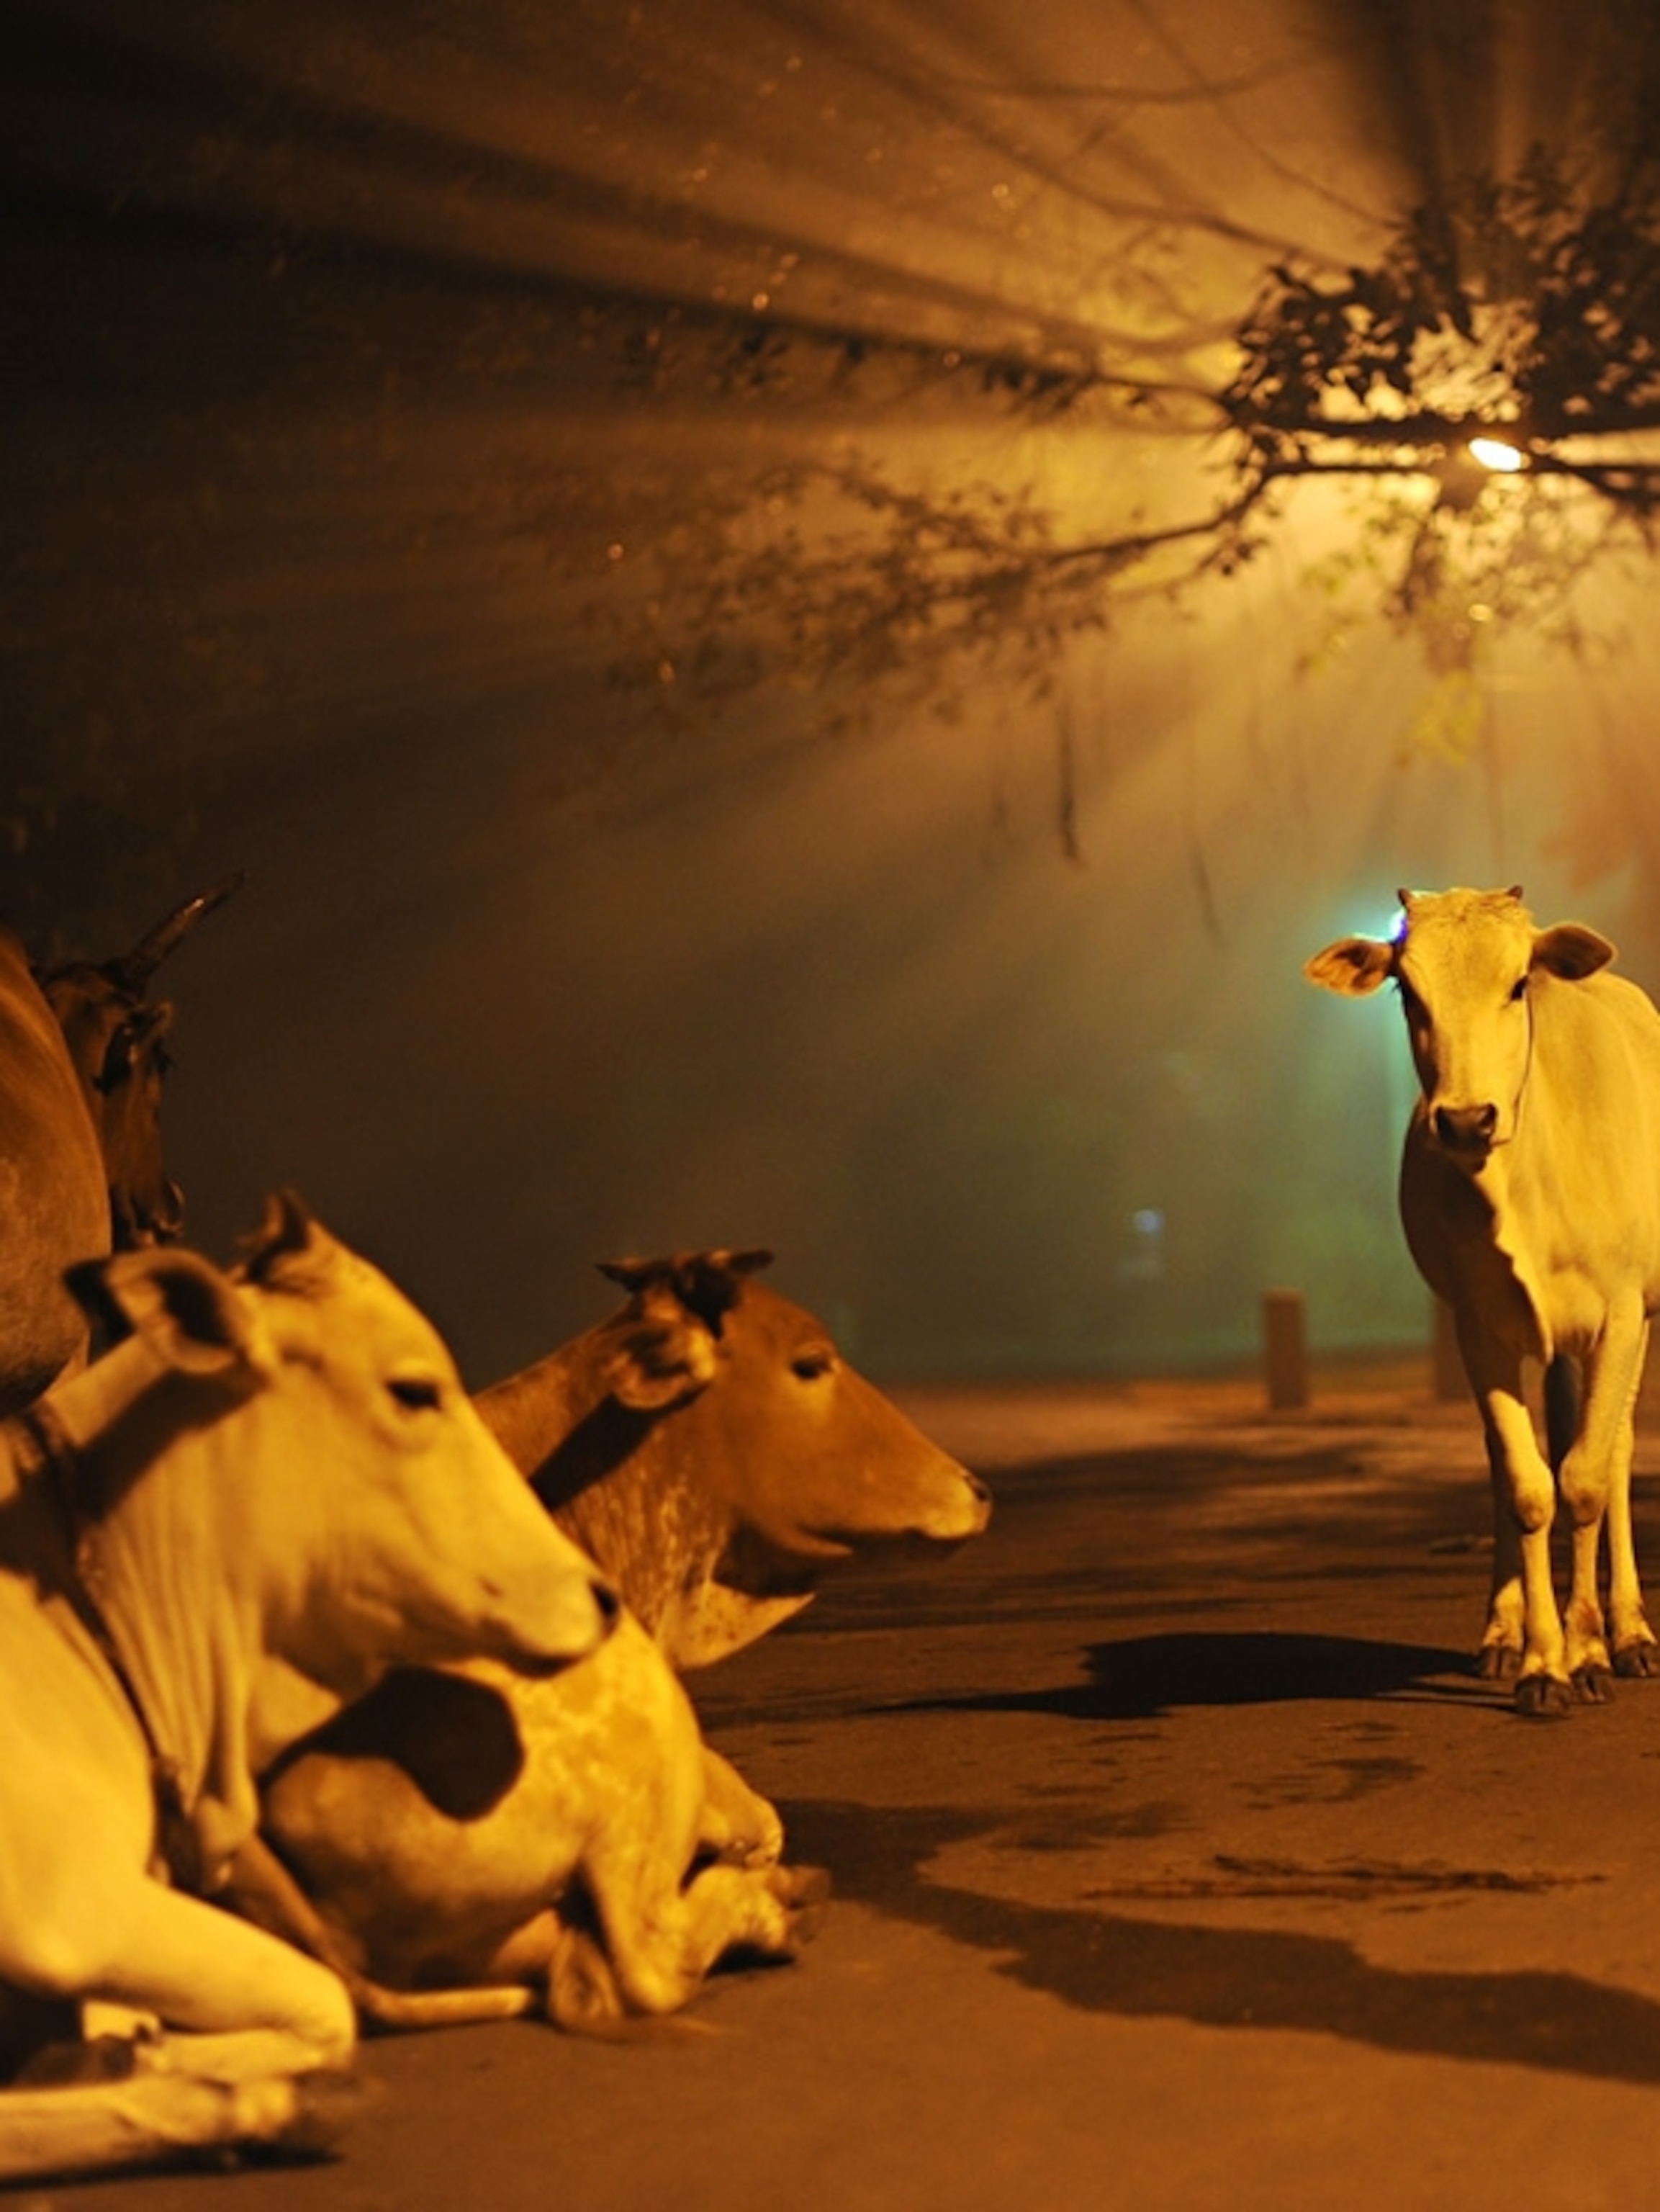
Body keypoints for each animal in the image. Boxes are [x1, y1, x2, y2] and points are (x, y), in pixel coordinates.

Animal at [1306, 884, 1660, 1715]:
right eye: (1407, 992)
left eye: (1518, 983)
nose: (1467, 1119)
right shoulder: (1479, 1328)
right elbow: (1528, 1485)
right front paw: (1541, 1662)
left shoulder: (1621, 1317)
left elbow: (1586, 1479)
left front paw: (1590, 1651)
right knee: (1514, 1464)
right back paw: (1502, 1634)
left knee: (1615, 1451)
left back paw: (1630, 1633)